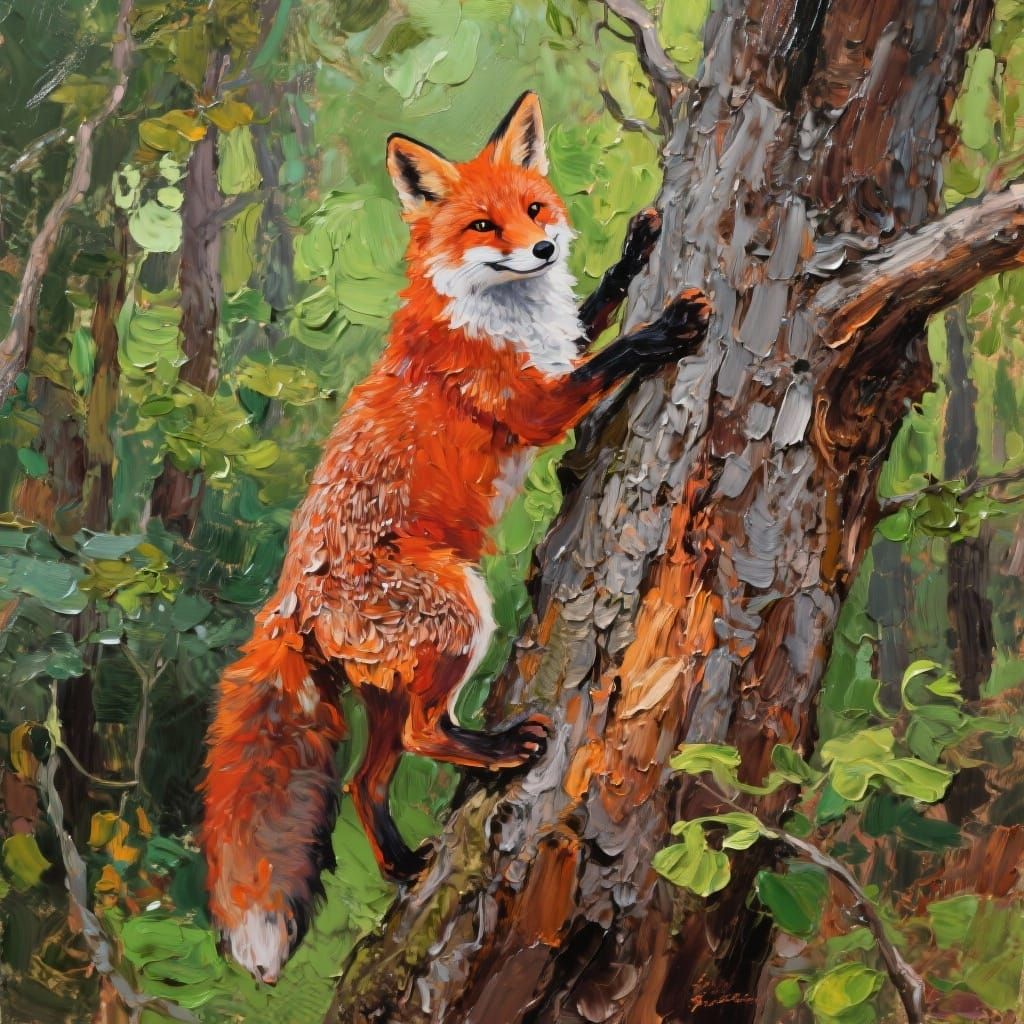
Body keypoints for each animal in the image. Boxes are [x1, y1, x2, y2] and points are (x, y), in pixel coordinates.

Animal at [199, 91, 710, 983]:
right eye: (481, 225)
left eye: (534, 210)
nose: (543, 248)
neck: (499, 316)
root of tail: (289, 601)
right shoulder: (537, 405)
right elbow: (606, 357)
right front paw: (665, 329)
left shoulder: (557, 347)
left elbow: (592, 316)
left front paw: (635, 247)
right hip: (458, 615)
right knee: (420, 736)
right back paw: (500, 749)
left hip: (387, 682)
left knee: (365, 781)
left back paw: (404, 864)